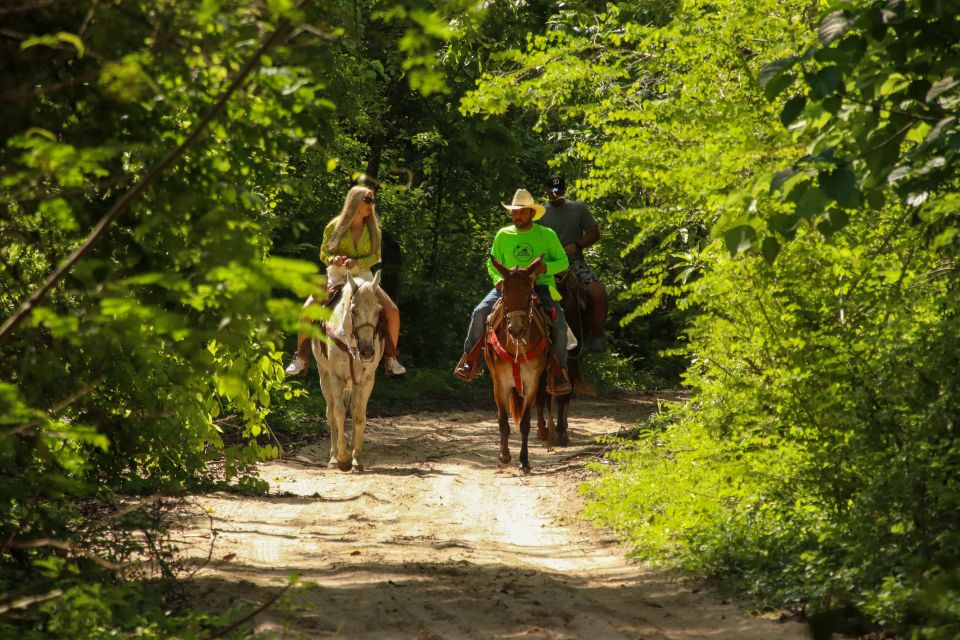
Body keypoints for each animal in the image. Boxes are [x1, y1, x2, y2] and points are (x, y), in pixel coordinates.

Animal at [314, 270, 384, 470]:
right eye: (354, 311)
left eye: (378, 311)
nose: (367, 352)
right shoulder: (336, 377)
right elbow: (338, 412)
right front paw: (343, 457)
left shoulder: (366, 379)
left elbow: (359, 415)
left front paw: (357, 458)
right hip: (324, 377)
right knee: (331, 412)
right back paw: (333, 456)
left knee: (353, 408)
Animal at [488, 254, 548, 470]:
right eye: (504, 292)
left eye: (529, 291)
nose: (516, 329)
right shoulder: (499, 382)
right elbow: (503, 421)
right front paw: (504, 456)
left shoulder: (532, 382)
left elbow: (524, 422)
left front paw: (524, 460)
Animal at [536, 268, 596, 444]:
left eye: (565, 304)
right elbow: (542, 394)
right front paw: (544, 430)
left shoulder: (568, 359)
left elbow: (563, 393)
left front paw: (561, 432)